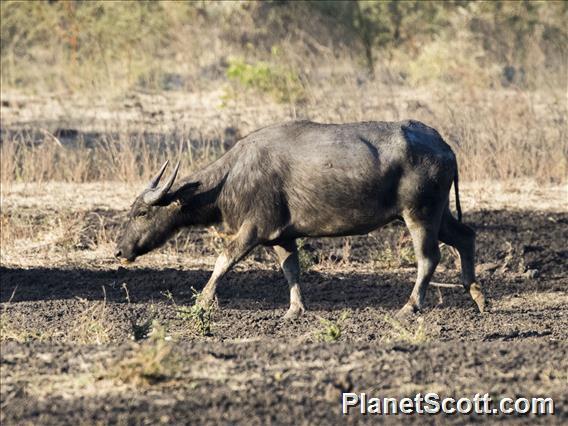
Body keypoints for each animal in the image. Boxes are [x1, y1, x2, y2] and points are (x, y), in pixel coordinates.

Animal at [114, 121, 484, 318]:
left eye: (142, 212)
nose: (119, 250)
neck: (233, 177)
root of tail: (444, 145)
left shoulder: (253, 230)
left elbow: (224, 259)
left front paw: (203, 300)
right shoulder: (281, 236)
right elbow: (291, 269)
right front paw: (295, 309)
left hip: (419, 213)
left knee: (429, 258)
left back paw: (411, 306)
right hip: (439, 213)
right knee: (466, 236)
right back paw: (478, 295)